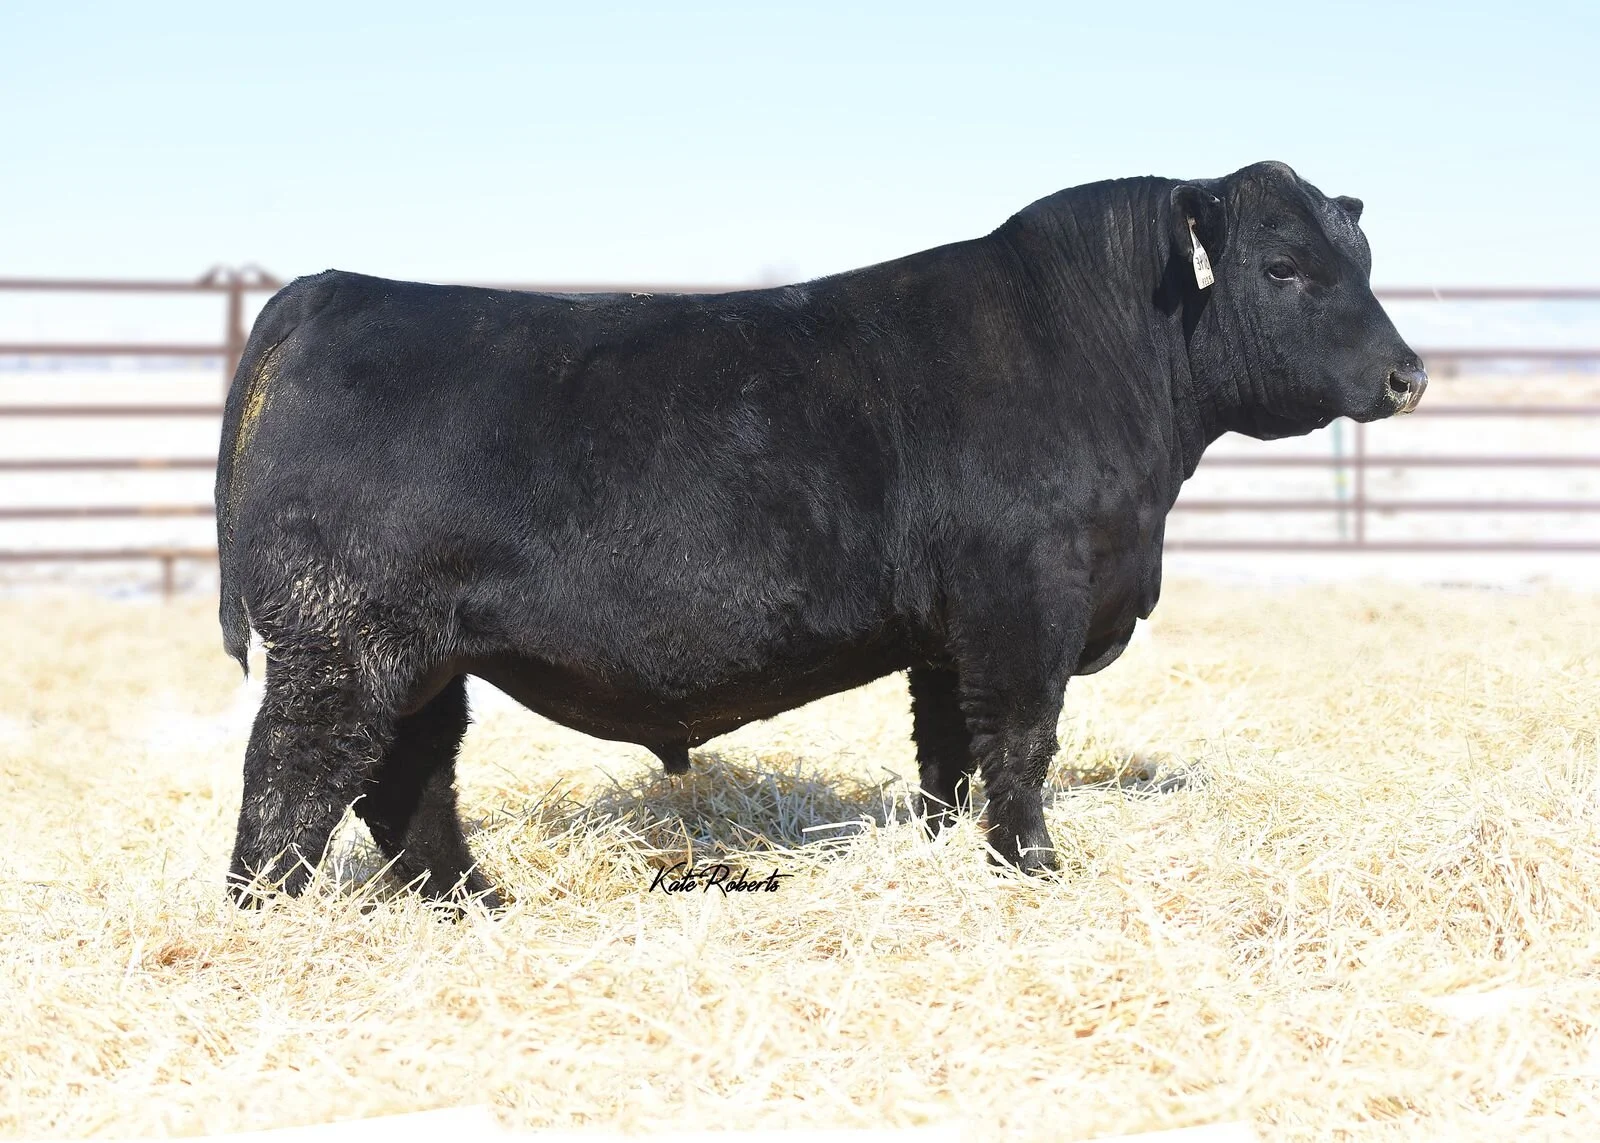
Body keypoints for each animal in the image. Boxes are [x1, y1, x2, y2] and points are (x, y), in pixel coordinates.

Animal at [215, 160, 1426, 909]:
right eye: (1281, 267)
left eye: (1364, 262)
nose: (1407, 375)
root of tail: (335, 289)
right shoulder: (1025, 600)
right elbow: (1021, 742)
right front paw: (1036, 868)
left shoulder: (948, 629)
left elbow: (949, 754)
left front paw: (946, 852)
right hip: (343, 643)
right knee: (296, 775)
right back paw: (268, 917)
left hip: (423, 655)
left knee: (408, 779)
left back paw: (474, 903)